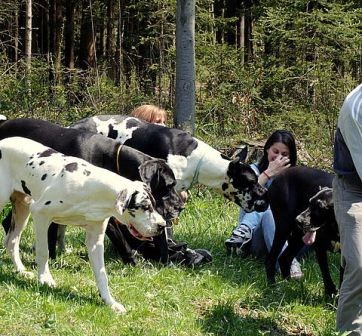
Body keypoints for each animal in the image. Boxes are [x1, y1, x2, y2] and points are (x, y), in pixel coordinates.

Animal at [0, 136, 166, 312]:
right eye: (145, 206)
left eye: (154, 205)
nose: (162, 225)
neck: (91, 189)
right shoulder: (41, 215)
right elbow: (43, 251)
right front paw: (45, 279)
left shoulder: (95, 241)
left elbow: (102, 274)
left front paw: (110, 302)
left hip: (22, 208)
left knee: (11, 241)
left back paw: (21, 271)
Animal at [264, 167, 338, 296]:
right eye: (310, 202)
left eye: (320, 207)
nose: (298, 219)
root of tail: (279, 176)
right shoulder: (319, 247)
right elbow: (326, 273)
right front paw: (331, 293)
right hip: (283, 228)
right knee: (271, 259)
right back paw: (273, 286)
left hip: (297, 237)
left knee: (284, 258)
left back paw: (289, 284)